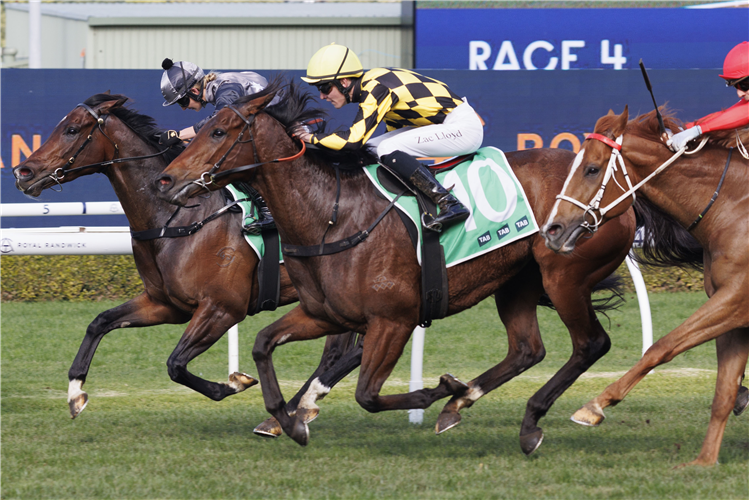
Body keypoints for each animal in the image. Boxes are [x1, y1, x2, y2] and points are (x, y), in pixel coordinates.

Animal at [13, 92, 358, 428]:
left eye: (71, 129)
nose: (22, 172)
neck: (176, 219)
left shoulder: (222, 307)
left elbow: (175, 364)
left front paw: (234, 383)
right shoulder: (165, 304)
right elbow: (99, 323)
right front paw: (75, 393)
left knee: (342, 353)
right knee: (339, 352)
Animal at [153, 82, 636, 454]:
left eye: (218, 131)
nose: (166, 180)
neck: (332, 216)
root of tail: (620, 187)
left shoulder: (393, 319)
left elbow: (367, 394)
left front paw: (440, 389)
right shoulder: (324, 313)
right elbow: (262, 344)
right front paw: (288, 421)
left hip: (564, 274)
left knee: (590, 344)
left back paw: (527, 419)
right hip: (516, 280)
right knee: (527, 350)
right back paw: (463, 407)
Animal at [544, 107, 748, 466]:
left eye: (592, 168)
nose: (552, 229)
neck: (733, 208)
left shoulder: (736, 299)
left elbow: (661, 346)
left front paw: (594, 406)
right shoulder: (732, 309)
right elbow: (724, 390)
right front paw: (704, 462)